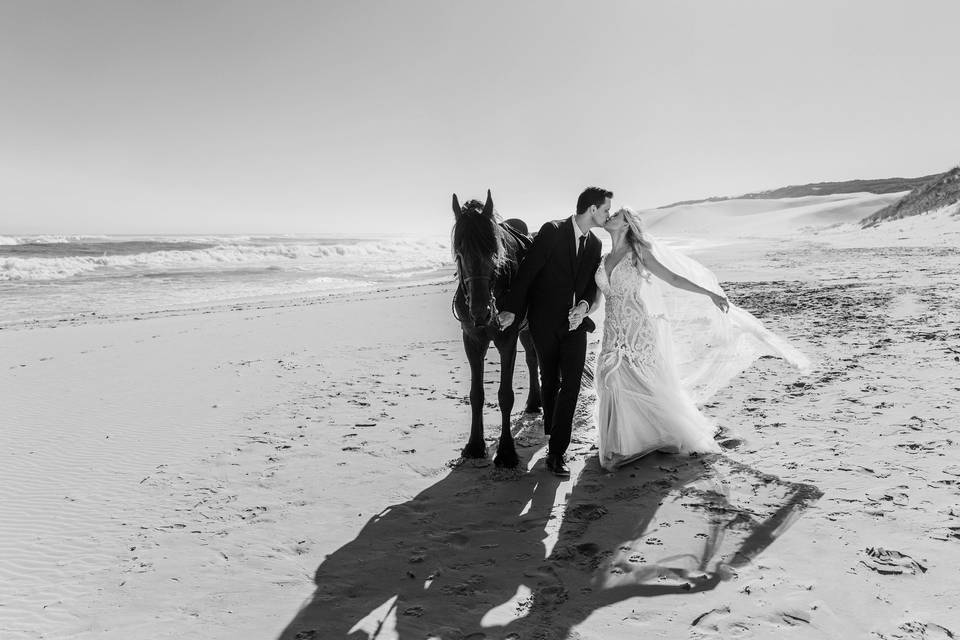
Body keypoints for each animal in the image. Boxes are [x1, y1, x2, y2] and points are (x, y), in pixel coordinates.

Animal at [452, 190, 540, 470]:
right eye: (459, 252)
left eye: (494, 250)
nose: (480, 312)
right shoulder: (472, 340)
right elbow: (476, 394)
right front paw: (474, 445)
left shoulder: (506, 339)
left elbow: (505, 396)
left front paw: (506, 452)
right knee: (532, 358)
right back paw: (534, 403)